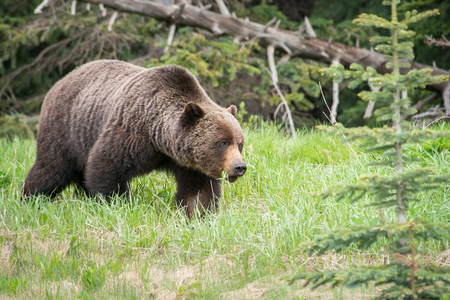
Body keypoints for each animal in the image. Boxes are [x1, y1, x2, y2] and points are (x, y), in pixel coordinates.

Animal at [22, 59, 246, 218]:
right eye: (222, 142)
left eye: (239, 143)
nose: (240, 167)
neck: (159, 139)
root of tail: (59, 82)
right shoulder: (131, 133)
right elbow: (106, 166)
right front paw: (117, 204)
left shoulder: (188, 163)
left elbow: (199, 191)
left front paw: (199, 215)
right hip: (66, 130)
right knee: (52, 169)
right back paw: (30, 198)